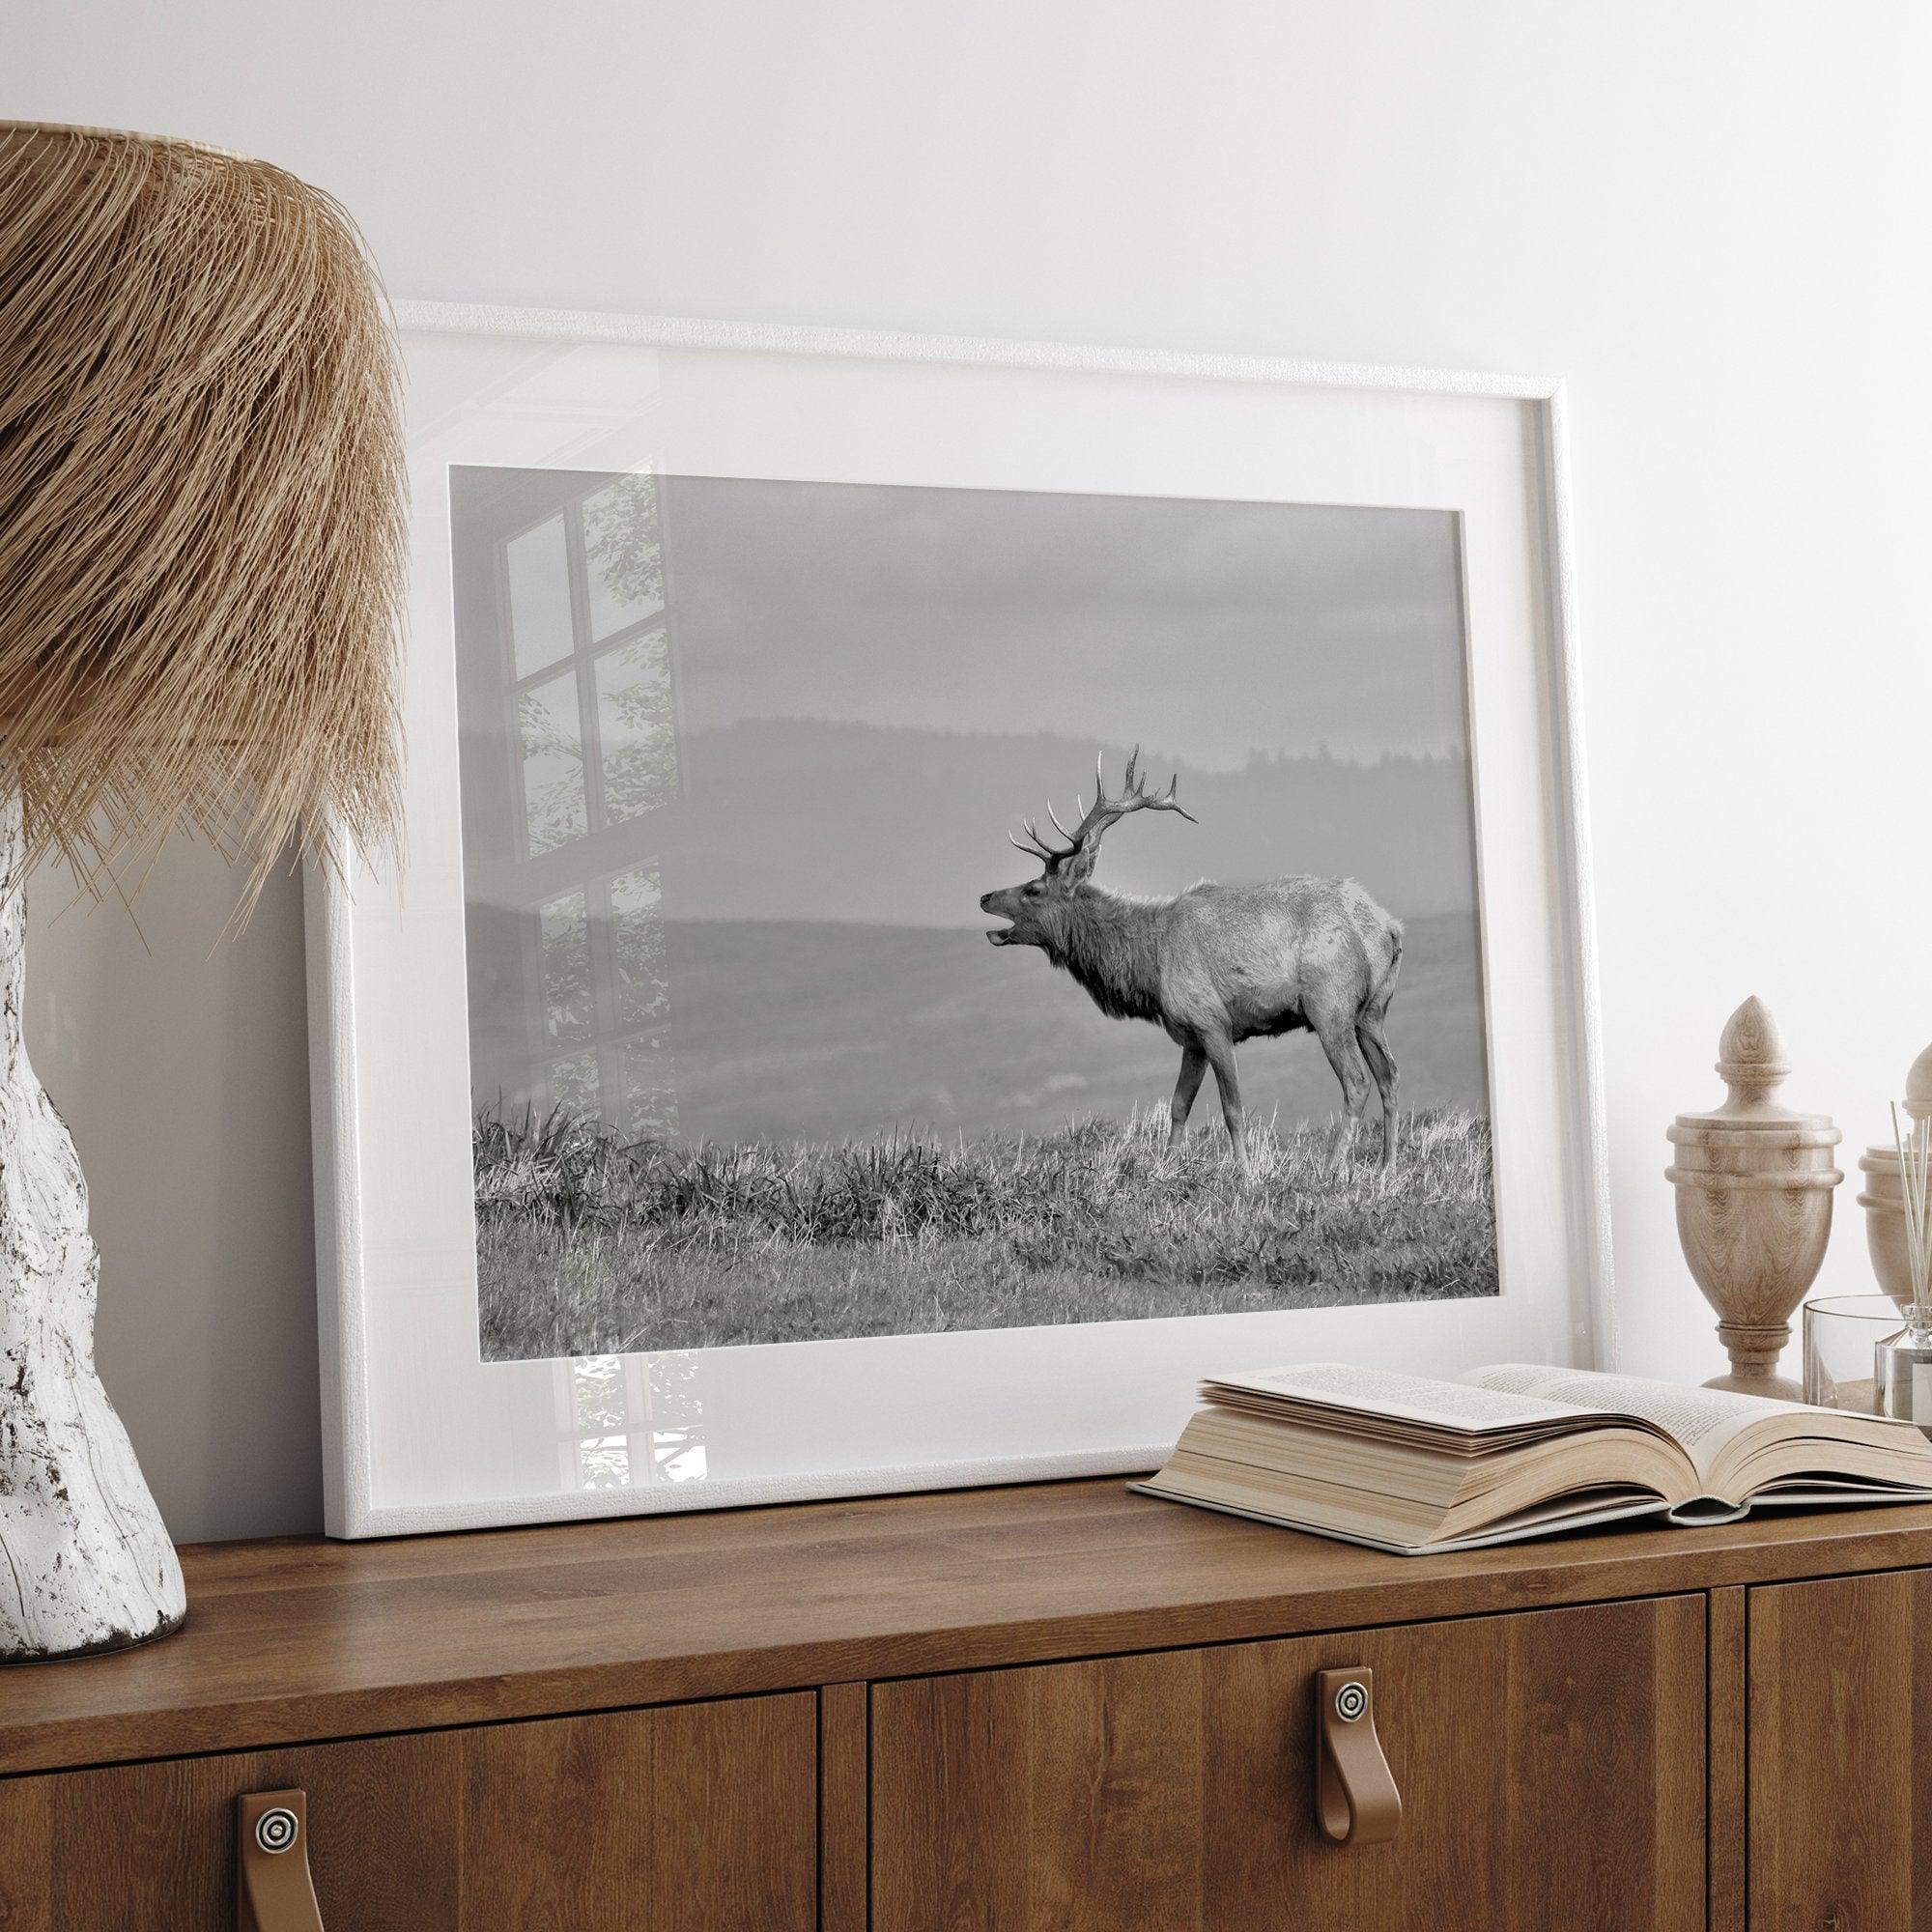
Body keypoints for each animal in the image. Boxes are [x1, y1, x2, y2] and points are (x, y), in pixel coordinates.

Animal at [981, 750, 1406, 1167]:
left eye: (1034, 889)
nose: (984, 896)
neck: (1149, 968)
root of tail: (1389, 929)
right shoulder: (1190, 1036)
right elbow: (1178, 1106)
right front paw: (1167, 1168)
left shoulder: (1212, 1022)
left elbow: (1232, 1108)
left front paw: (1244, 1173)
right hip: (1372, 1010)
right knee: (1389, 1075)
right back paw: (1388, 1165)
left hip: (1329, 1006)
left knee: (1357, 1081)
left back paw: (1332, 1167)